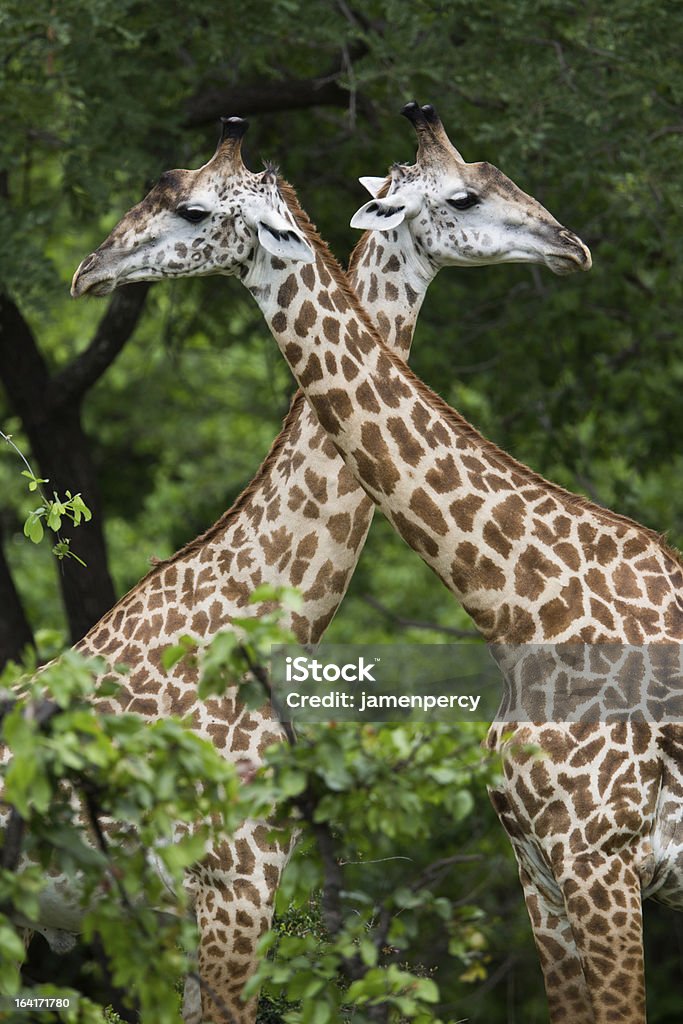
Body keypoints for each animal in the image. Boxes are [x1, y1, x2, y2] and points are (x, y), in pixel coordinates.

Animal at [70, 112, 683, 1024]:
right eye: (465, 195)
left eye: (189, 207)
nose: (88, 270)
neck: (522, 606)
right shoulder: (548, 866)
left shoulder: (593, 858)